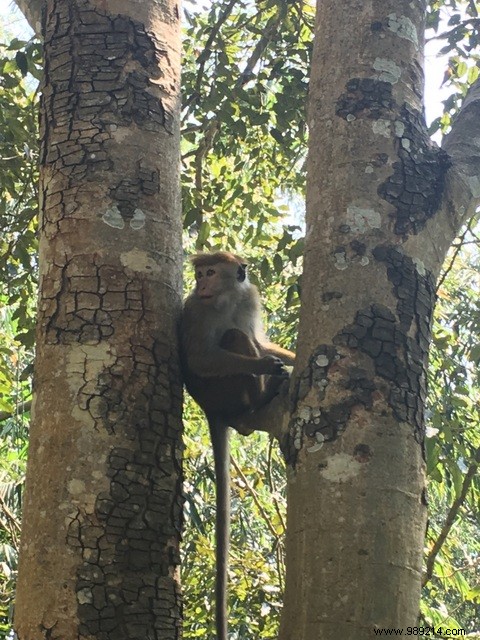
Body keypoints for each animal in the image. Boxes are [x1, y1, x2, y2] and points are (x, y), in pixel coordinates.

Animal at [179, 250, 294, 640]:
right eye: (200, 274)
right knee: (233, 337)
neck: (225, 298)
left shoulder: (249, 298)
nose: (200, 283)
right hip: (222, 392)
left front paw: (289, 358)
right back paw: (262, 396)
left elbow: (260, 337)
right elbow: (201, 357)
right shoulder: (196, 310)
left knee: (241, 334)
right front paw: (266, 365)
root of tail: (210, 409)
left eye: (211, 272)